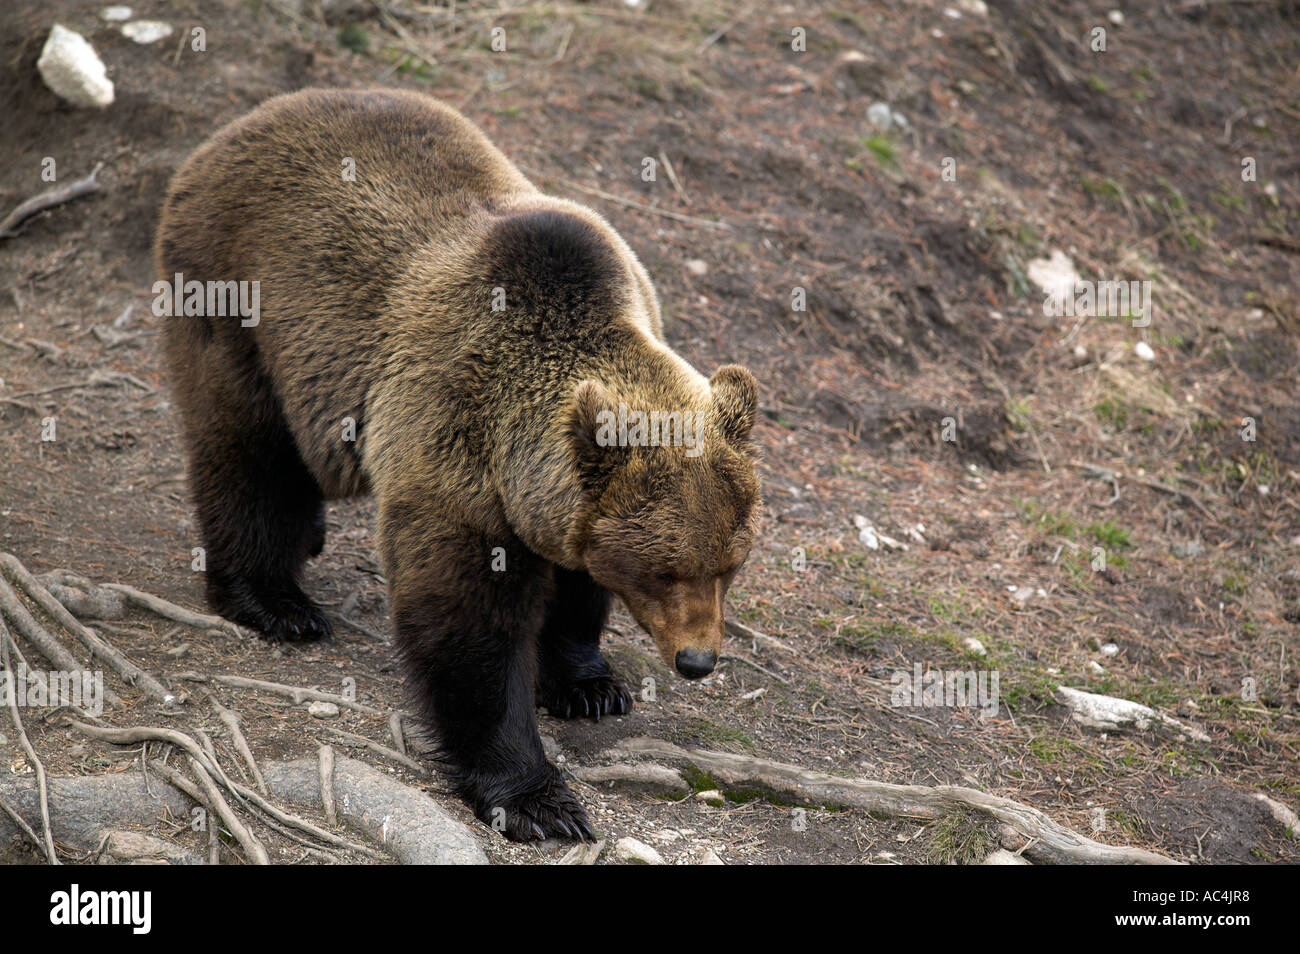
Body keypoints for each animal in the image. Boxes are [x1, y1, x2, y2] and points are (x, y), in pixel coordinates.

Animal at [154, 88, 761, 841]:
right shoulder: (455, 441)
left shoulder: (566, 493)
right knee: (249, 449)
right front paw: (537, 798)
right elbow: (467, 624)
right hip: (242, 300)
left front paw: (589, 684)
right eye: (666, 571)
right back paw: (274, 601)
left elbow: (576, 578)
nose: (698, 659)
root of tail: (243, 124)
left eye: (728, 566)